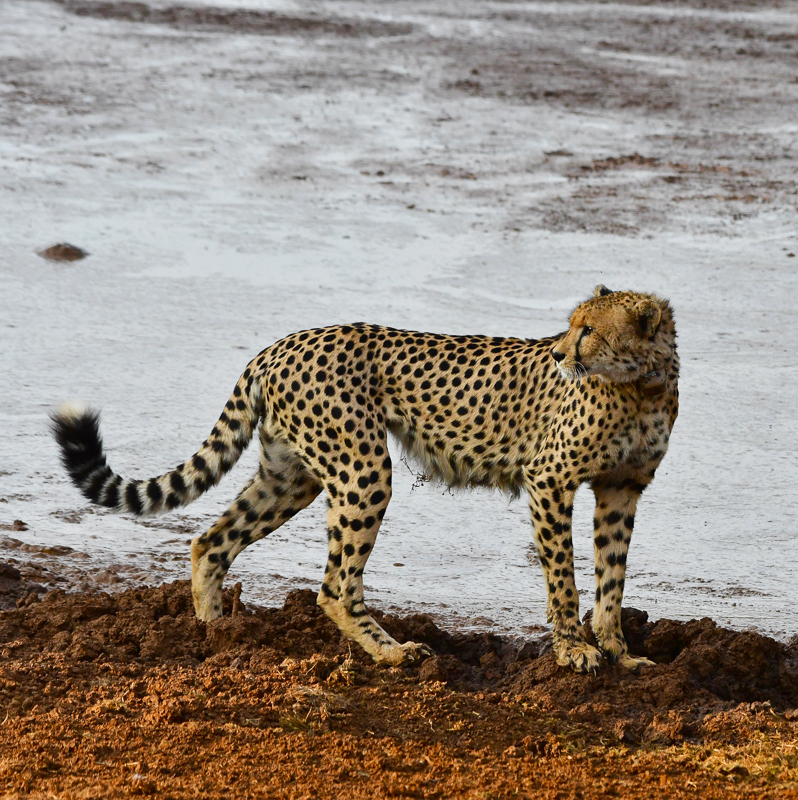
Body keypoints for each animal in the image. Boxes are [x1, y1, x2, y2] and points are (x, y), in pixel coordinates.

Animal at [52, 285, 679, 673]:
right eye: (572, 326)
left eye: (589, 330)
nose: (557, 354)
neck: (642, 387)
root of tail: (278, 345)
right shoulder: (549, 479)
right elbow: (564, 577)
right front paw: (574, 651)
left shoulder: (622, 489)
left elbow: (612, 577)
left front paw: (621, 654)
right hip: (362, 470)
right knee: (334, 585)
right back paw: (393, 653)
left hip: (292, 476)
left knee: (212, 541)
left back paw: (216, 636)